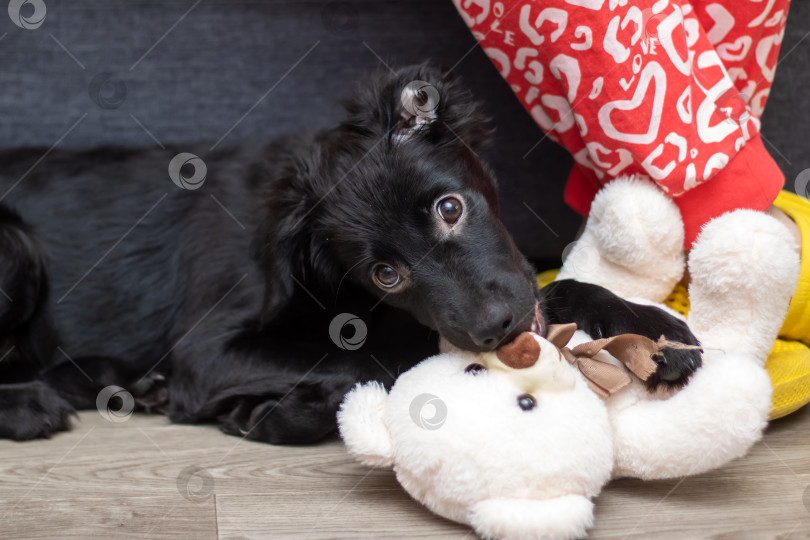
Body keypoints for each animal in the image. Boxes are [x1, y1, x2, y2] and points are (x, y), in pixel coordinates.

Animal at [0, 64, 696, 442]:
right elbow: (380, 356)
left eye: (450, 209)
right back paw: (32, 405)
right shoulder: (206, 352)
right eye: (385, 274)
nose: (495, 330)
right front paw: (265, 413)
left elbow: (556, 287)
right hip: (16, 244)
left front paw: (651, 330)